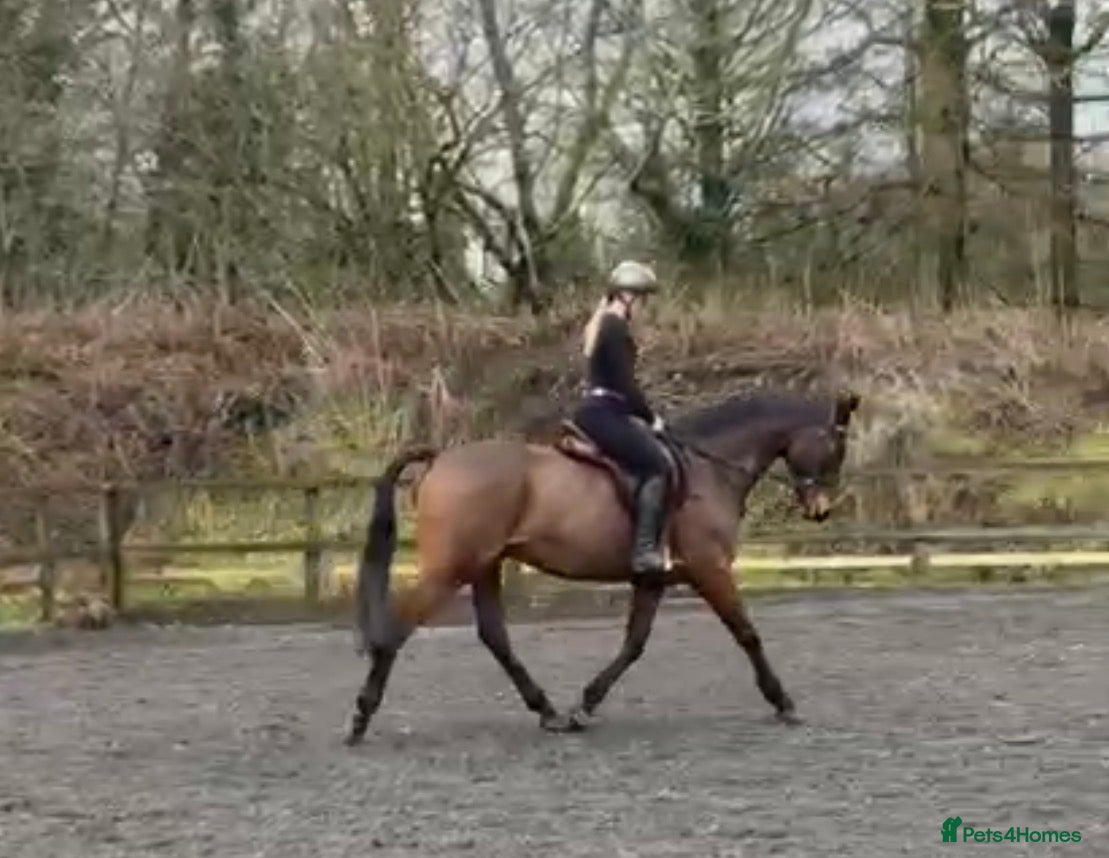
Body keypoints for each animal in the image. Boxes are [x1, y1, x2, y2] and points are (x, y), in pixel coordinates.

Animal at [344, 389, 861, 744]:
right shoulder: (709, 569)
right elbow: (747, 634)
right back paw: (361, 719)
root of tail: (441, 458)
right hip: (450, 568)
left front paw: (584, 706)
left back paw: (549, 713)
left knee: (495, 637)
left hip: (484, 565)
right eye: (835, 448)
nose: (820, 510)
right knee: (397, 630)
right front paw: (783, 702)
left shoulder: (654, 577)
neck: (706, 468)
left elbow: (633, 644)